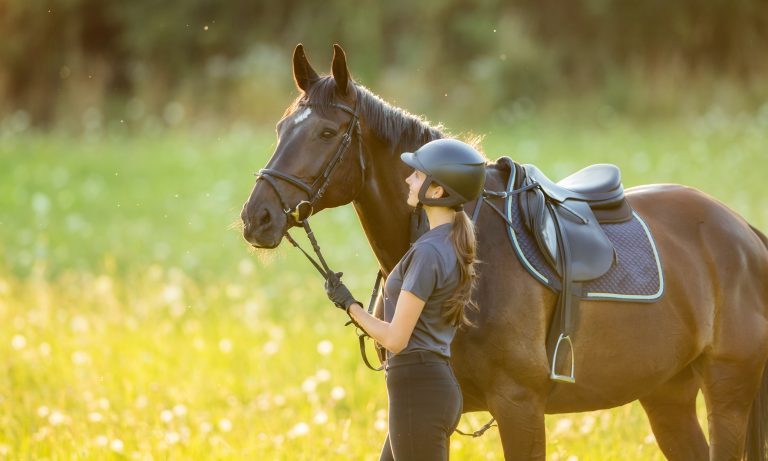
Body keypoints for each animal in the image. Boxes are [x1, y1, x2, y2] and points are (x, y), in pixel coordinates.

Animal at [240, 44, 768, 460]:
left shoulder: (519, 407)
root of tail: (742, 232)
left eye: (327, 133)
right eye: (282, 128)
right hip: (667, 395)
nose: (256, 218)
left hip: (727, 391)